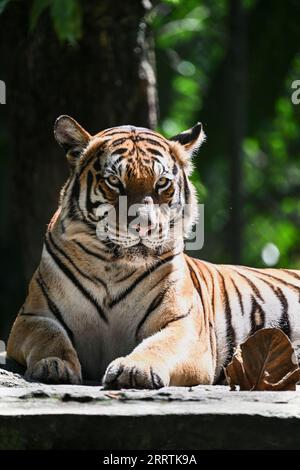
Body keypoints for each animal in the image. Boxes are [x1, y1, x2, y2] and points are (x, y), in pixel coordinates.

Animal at [5, 115, 300, 388]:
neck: (112, 267)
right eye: (114, 181)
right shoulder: (32, 316)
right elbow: (49, 337)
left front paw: (135, 369)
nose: (144, 226)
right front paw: (53, 364)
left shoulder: (185, 325)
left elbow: (159, 344)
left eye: (162, 183)